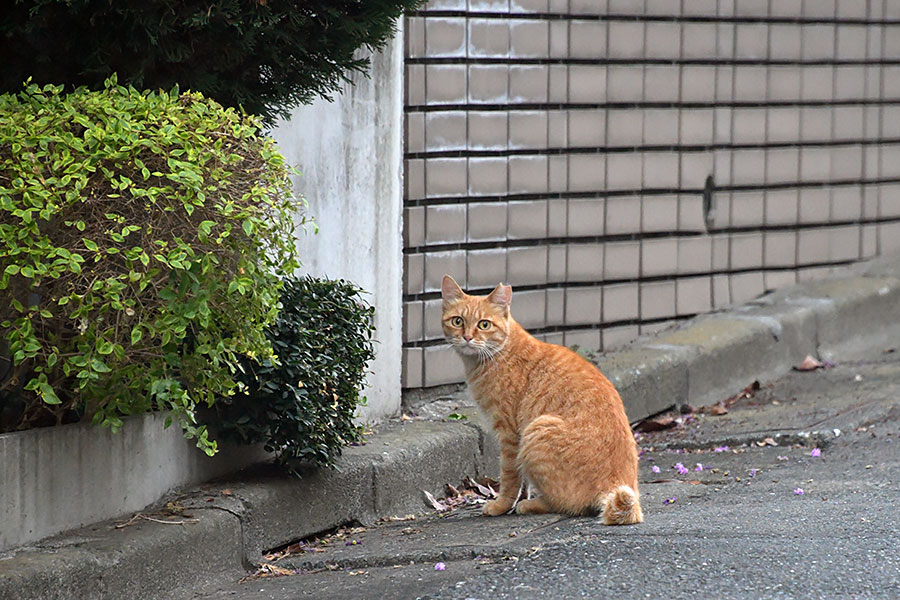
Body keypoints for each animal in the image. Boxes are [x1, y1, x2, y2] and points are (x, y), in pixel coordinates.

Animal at [442, 276, 640, 524]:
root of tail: (618, 484)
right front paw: (516, 499)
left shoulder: (509, 434)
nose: (467, 337)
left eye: (484, 324)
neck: (498, 353)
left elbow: (510, 476)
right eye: (457, 321)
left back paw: (531, 505)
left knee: (568, 504)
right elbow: (522, 478)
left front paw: (502, 505)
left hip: (537, 429)